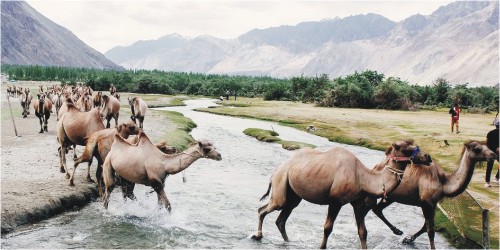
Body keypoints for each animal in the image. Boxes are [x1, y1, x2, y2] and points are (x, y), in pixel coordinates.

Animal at [252, 140, 432, 249]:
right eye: (405, 149)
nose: (428, 157)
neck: (362, 177)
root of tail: (276, 171)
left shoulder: (357, 203)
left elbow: (363, 232)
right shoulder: (336, 201)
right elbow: (327, 228)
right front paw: (322, 246)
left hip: (294, 195)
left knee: (281, 219)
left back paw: (288, 241)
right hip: (280, 184)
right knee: (264, 209)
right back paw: (258, 236)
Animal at [364, 140, 496, 249]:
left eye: (487, 146)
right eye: (477, 149)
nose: (493, 155)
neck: (443, 184)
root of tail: (377, 166)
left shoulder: (433, 203)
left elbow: (426, 227)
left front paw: (407, 239)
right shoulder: (426, 202)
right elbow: (430, 230)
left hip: (391, 197)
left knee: (377, 209)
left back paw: (397, 231)